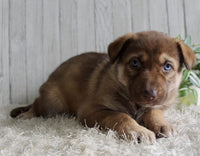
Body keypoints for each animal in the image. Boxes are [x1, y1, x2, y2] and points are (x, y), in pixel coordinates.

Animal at [10, 31, 195, 142]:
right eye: (134, 63)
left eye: (167, 67)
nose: (150, 94)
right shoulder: (92, 109)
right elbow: (121, 115)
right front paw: (138, 130)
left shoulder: (157, 105)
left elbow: (154, 112)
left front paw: (162, 125)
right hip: (52, 103)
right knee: (36, 105)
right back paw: (26, 114)